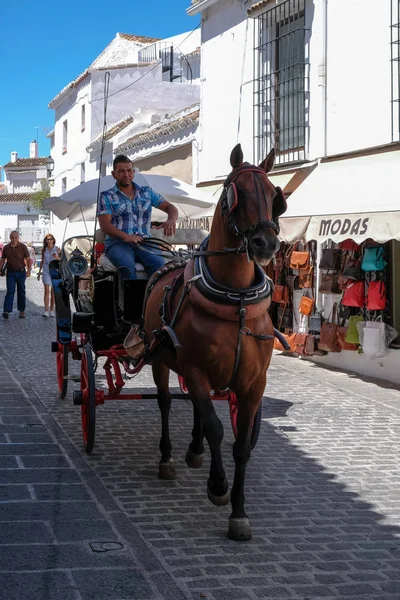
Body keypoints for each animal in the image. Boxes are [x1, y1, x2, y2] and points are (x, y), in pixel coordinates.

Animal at [142, 143, 286, 540]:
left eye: (274, 196)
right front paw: (218, 487)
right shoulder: (194, 369)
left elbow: (241, 444)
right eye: (235, 194)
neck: (236, 300)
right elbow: (217, 429)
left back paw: (193, 450)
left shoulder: (253, 384)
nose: (265, 243)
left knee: (194, 407)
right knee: (165, 403)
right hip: (161, 360)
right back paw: (168, 458)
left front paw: (239, 511)